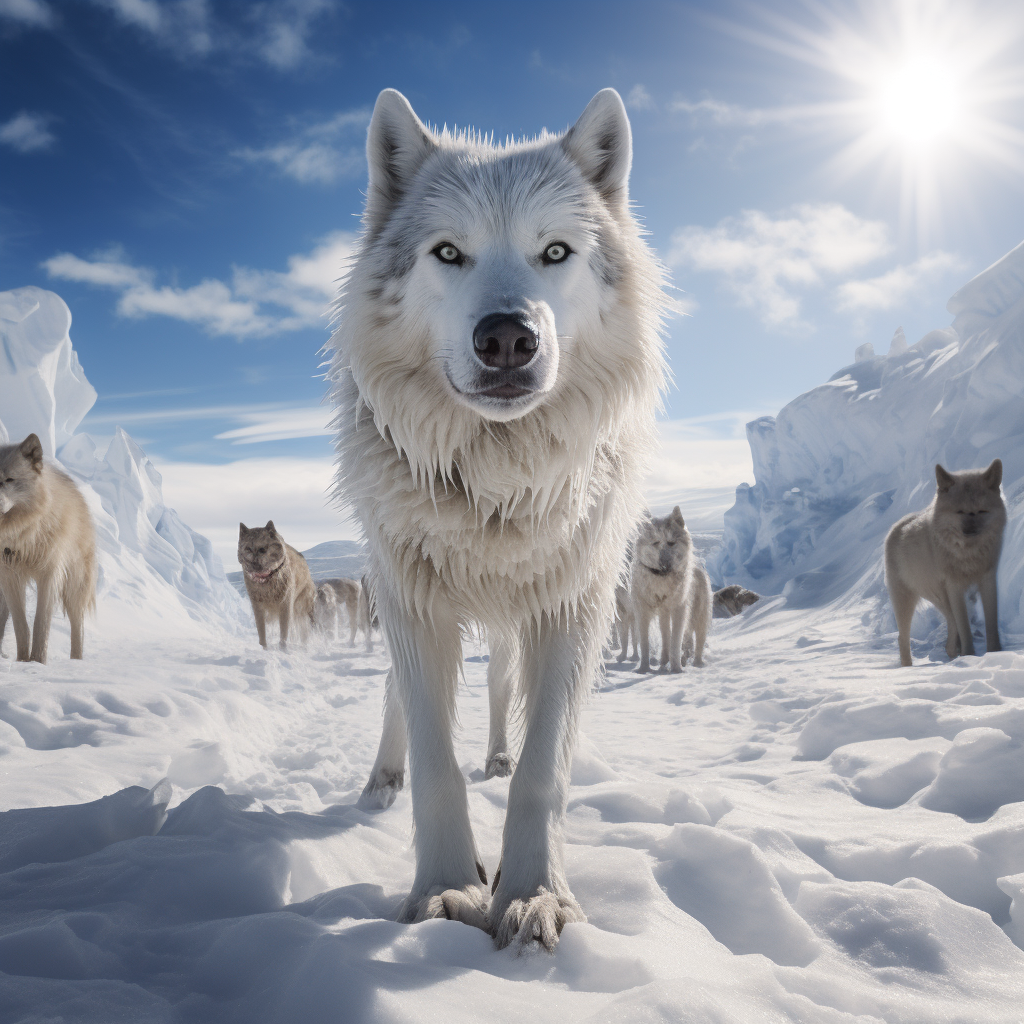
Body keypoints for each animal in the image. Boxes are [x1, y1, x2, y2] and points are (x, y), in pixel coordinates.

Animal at [0, 434, 96, 663]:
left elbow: (40, 624)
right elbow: (21, 626)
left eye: (9, 480)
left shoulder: (49, 574)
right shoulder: (9, 578)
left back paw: (76, 663)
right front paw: (23, 661)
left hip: (75, 586)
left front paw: (37, 661)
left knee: (78, 627)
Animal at [331, 88, 667, 950]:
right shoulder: (415, 606)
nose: (509, 336)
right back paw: (381, 781)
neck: (496, 488)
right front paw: (447, 892)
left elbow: (545, 770)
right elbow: (434, 764)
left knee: (496, 692)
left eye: (555, 253)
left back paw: (496, 760)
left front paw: (535, 896)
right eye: (449, 253)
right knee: (398, 704)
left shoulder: (572, 608)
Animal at [884, 460, 1003, 667]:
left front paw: (995, 653)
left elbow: (991, 623)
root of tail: (896, 526)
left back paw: (952, 651)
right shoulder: (954, 585)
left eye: (981, 511)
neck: (968, 553)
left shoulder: (987, 579)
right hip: (908, 599)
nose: (970, 531)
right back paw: (908, 667)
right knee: (902, 637)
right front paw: (970, 656)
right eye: (960, 512)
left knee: (951, 622)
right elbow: (965, 628)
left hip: (941, 597)